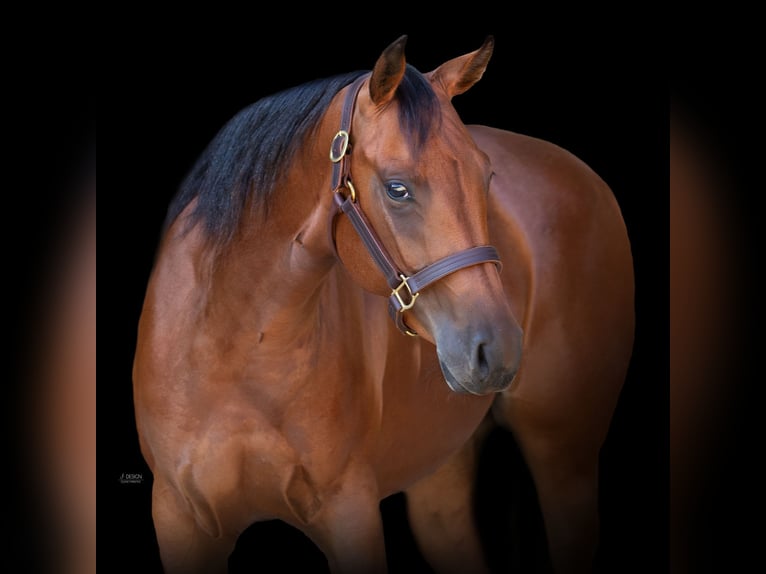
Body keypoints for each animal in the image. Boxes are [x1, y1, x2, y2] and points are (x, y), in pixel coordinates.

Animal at [133, 35, 634, 574]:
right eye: (397, 189)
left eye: (487, 176)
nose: (497, 351)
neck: (237, 349)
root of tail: (585, 175)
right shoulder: (181, 521)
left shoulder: (349, 511)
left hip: (563, 456)